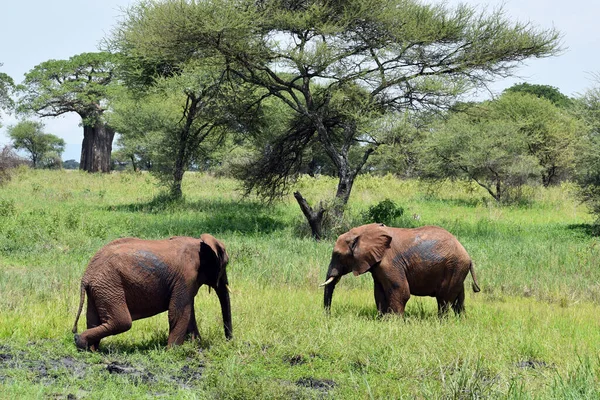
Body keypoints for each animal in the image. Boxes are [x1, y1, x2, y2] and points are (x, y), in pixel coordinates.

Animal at [72, 234, 232, 350]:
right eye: (226, 264)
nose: (229, 342)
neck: (200, 243)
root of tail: (86, 275)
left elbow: (188, 312)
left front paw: (196, 346)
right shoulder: (186, 277)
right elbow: (178, 312)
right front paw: (173, 352)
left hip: (99, 288)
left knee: (93, 319)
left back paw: (89, 349)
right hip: (109, 285)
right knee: (122, 322)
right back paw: (80, 341)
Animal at [322, 223, 480, 318]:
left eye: (338, 255)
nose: (328, 316)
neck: (364, 232)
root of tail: (468, 256)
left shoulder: (390, 262)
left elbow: (400, 290)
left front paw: (395, 322)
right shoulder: (377, 266)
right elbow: (379, 292)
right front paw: (382, 319)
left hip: (453, 267)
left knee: (444, 299)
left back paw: (442, 322)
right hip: (457, 269)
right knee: (459, 299)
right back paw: (460, 321)